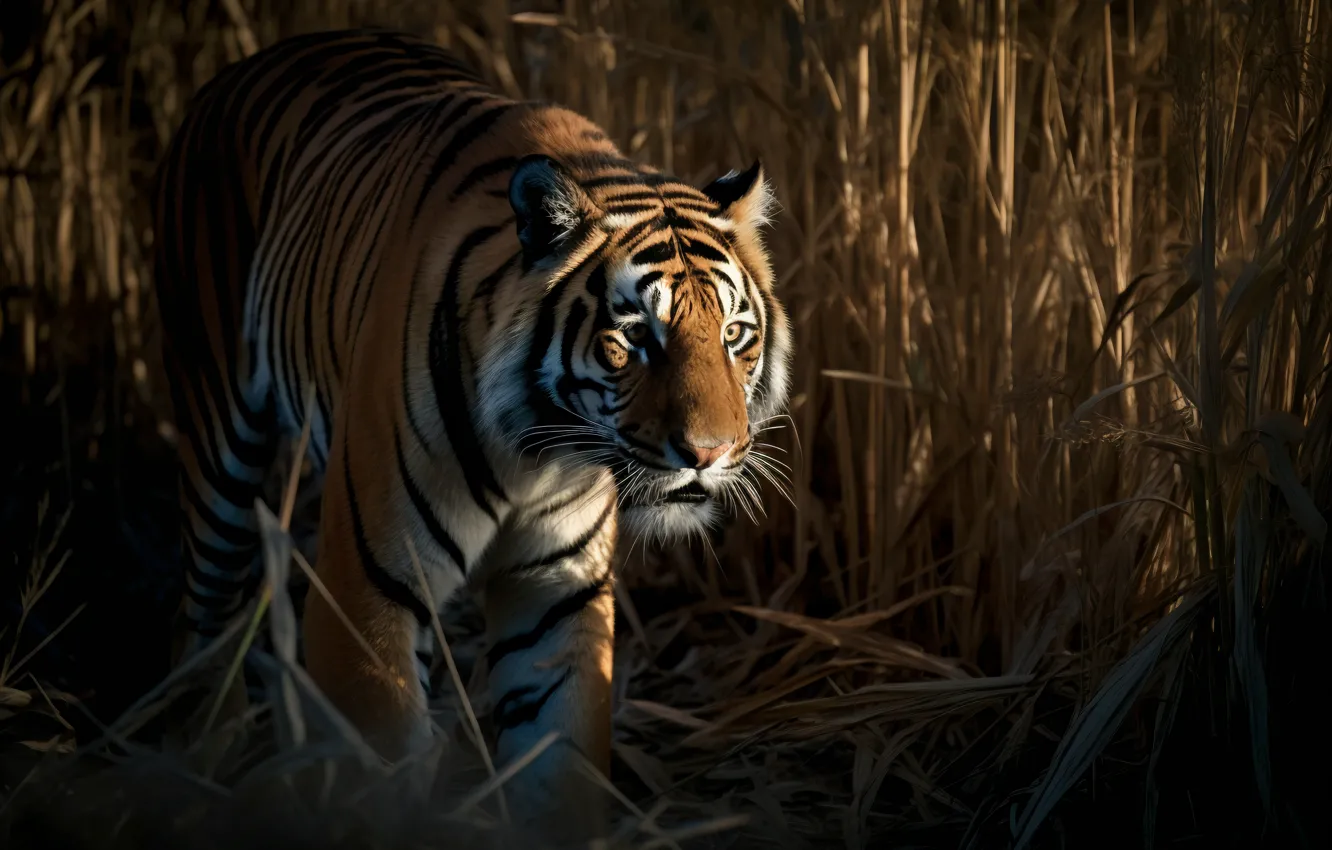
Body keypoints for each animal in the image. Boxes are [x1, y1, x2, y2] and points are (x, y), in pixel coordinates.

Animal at [152, 27, 791, 835]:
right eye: (635, 338)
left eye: (735, 335)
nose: (709, 453)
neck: (538, 452)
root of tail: (239, 69)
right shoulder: (368, 586)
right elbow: (379, 778)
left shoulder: (558, 591)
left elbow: (561, 768)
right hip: (217, 441)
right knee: (203, 619)